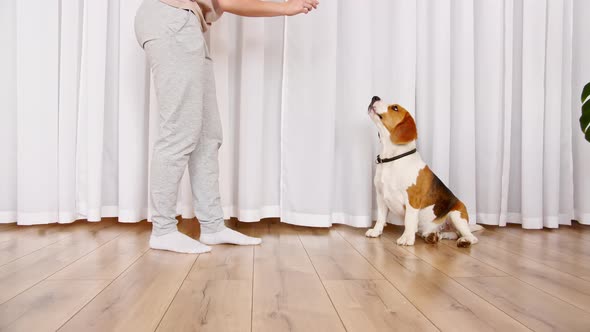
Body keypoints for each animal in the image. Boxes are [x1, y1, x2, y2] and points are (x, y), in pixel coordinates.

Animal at [368, 96, 484, 246]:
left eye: (395, 108)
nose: (374, 97)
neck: (392, 158)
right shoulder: (381, 197)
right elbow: (381, 218)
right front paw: (376, 231)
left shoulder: (412, 200)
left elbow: (409, 220)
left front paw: (407, 238)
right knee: (450, 234)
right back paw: (434, 236)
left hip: (456, 215)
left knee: (470, 237)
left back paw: (464, 240)